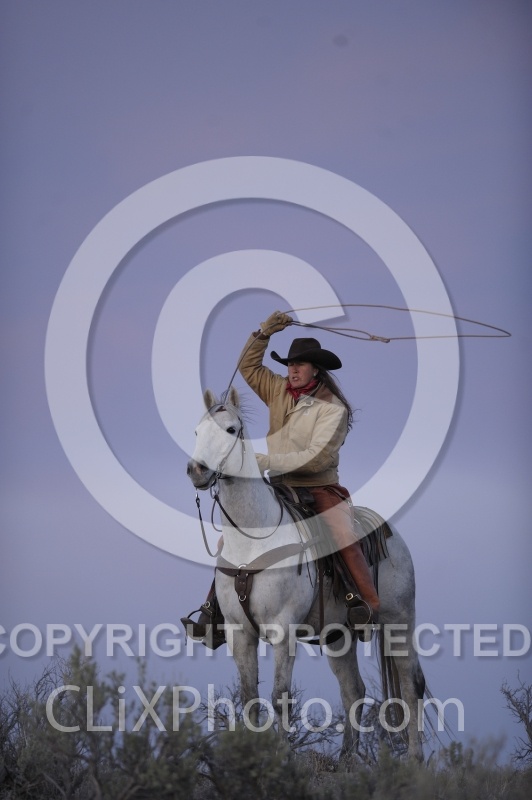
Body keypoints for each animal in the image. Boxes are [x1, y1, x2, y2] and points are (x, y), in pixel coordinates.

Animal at [186, 387, 427, 761]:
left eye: (230, 429)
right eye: (197, 432)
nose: (196, 470)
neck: (253, 541)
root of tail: (390, 533)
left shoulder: (283, 630)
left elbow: (280, 699)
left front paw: (282, 759)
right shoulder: (241, 634)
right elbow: (250, 700)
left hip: (399, 622)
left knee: (410, 684)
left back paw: (414, 761)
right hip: (339, 635)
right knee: (353, 690)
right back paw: (346, 761)